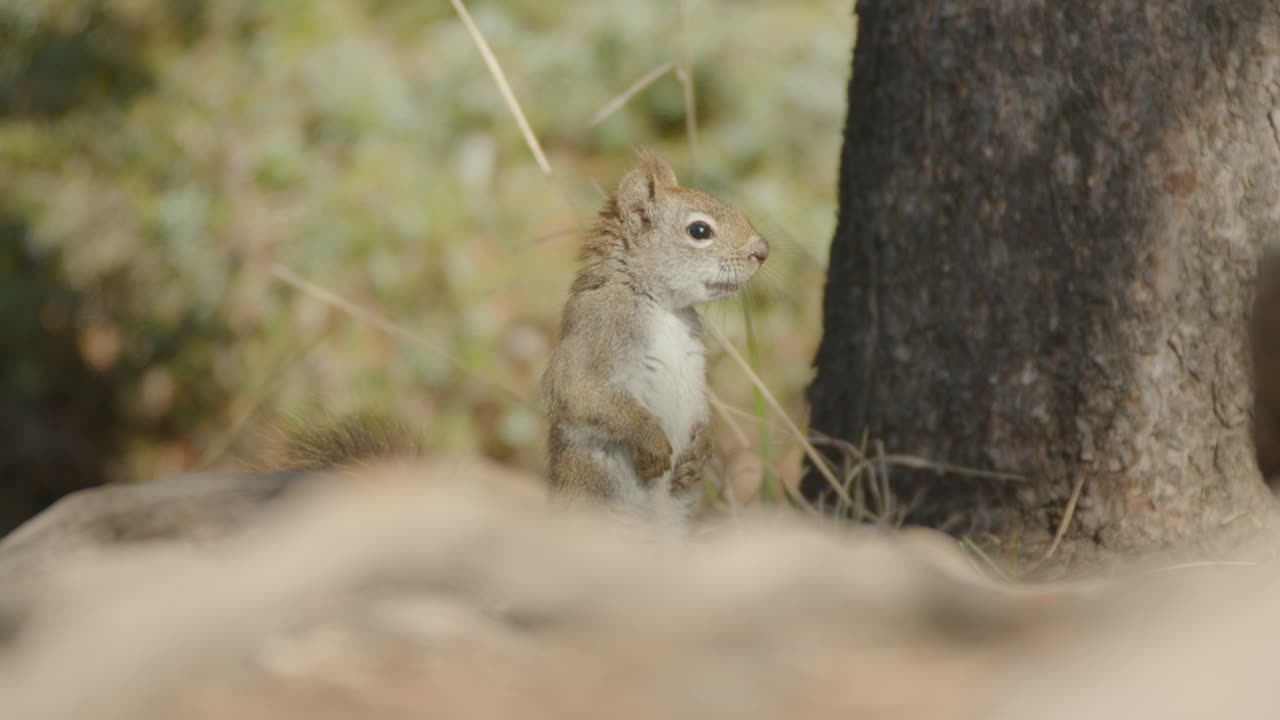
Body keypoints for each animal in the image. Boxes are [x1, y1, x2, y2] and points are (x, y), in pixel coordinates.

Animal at [538, 150, 769, 525]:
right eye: (699, 230)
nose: (762, 251)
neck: (665, 309)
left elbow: (702, 409)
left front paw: (702, 450)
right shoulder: (596, 331)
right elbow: (582, 394)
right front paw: (651, 440)